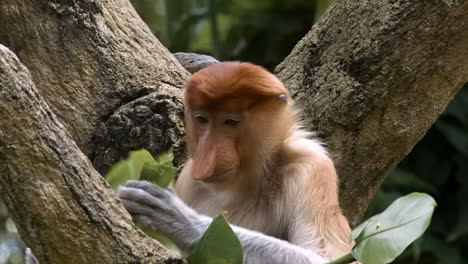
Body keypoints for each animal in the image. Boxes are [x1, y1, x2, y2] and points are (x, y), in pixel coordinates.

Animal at [119, 62, 352, 264]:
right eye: (202, 119)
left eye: (230, 122)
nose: (207, 153)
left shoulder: (311, 166)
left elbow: (328, 257)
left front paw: (179, 218)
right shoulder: (188, 178)